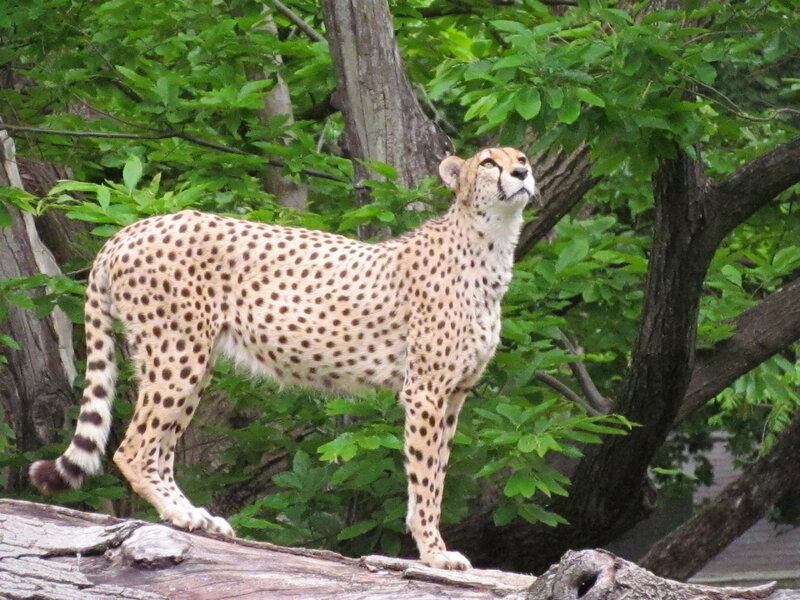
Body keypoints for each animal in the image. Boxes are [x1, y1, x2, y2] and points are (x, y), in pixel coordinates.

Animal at [30, 147, 536, 570]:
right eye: (489, 162)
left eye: (521, 157)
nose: (521, 173)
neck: (490, 242)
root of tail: (134, 227)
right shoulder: (426, 392)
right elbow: (427, 478)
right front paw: (435, 553)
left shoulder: (454, 395)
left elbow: (435, 476)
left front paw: (431, 545)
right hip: (178, 355)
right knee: (133, 448)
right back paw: (182, 514)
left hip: (190, 360)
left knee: (160, 450)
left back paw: (195, 515)